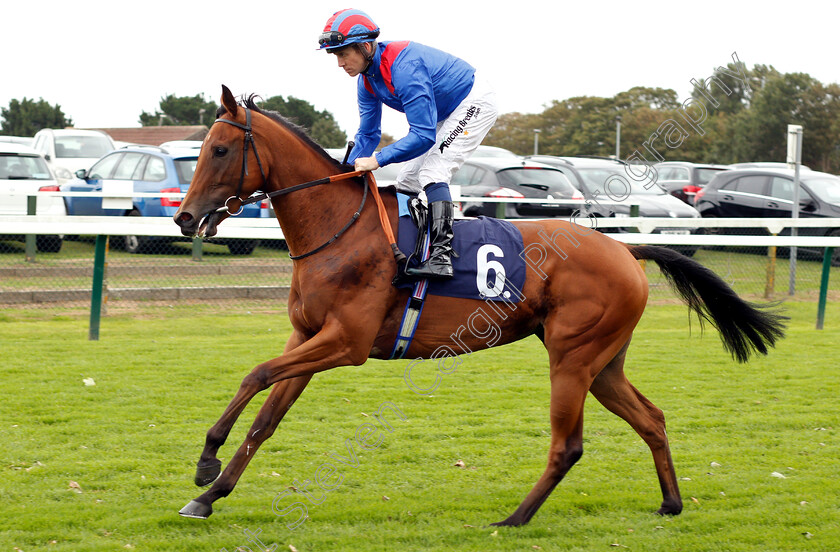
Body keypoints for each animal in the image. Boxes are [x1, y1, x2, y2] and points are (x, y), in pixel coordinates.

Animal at [174, 85, 784, 520]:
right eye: (202, 150)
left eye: (220, 149)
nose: (184, 217)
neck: (339, 229)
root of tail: (623, 247)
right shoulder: (308, 337)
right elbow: (266, 419)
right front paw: (211, 493)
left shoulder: (345, 343)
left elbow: (255, 374)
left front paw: (206, 461)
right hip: (603, 363)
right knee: (652, 419)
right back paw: (670, 503)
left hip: (573, 357)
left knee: (568, 445)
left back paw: (515, 518)